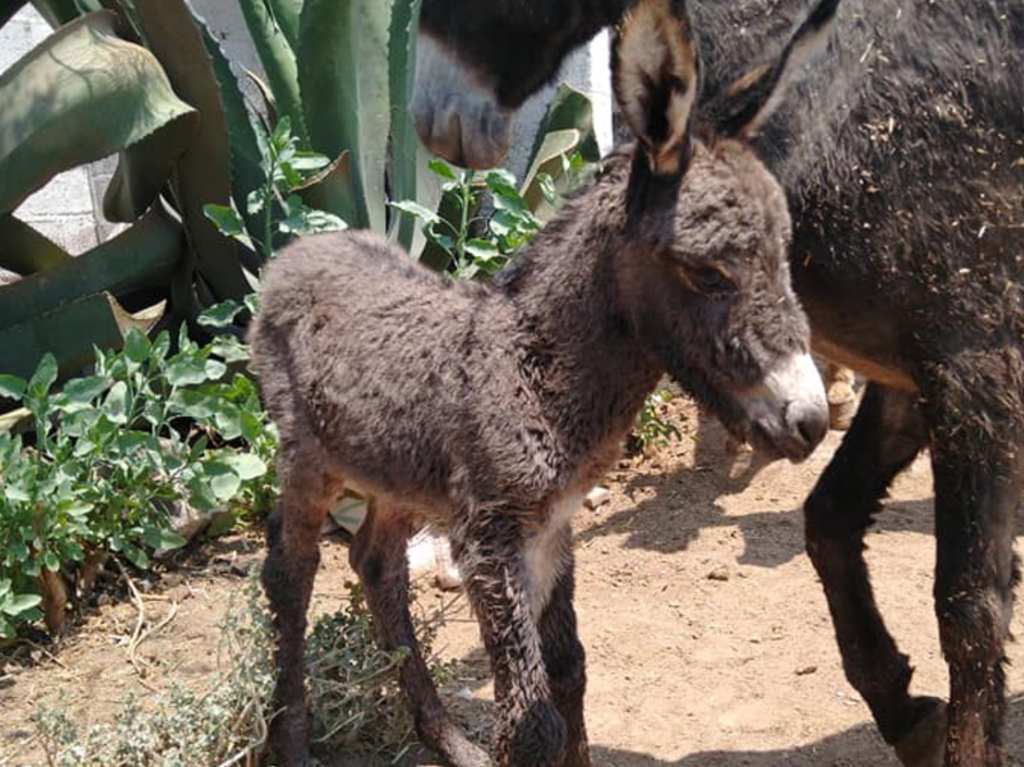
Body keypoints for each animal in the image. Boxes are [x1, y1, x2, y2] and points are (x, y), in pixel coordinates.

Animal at [251, 2, 835, 761]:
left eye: (784, 257)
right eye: (708, 273)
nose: (811, 419)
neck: (535, 370)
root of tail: (299, 250)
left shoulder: (554, 526)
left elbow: (571, 671)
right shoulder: (490, 539)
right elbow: (530, 719)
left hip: (399, 473)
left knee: (377, 564)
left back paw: (446, 738)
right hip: (308, 459)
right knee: (289, 574)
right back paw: (292, 740)